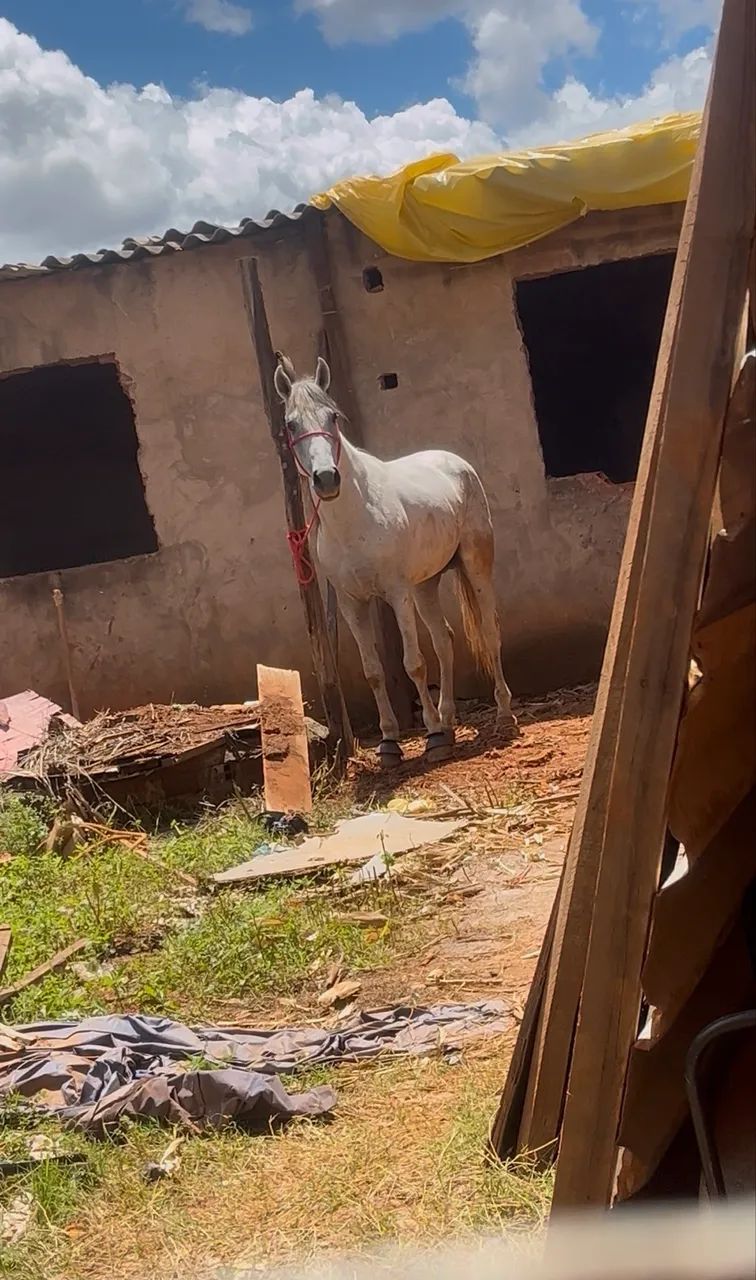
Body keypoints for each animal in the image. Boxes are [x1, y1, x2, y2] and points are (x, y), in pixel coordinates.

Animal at [273, 353, 517, 765]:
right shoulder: (353, 604)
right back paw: (449, 721)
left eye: (332, 417)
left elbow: (413, 663)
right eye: (291, 424)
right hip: (426, 586)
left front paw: (432, 737)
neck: (356, 516)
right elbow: (374, 670)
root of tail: (455, 462)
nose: (326, 479)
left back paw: (501, 715)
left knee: (488, 632)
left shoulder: (396, 594)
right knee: (444, 640)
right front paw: (390, 742)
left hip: (473, 566)